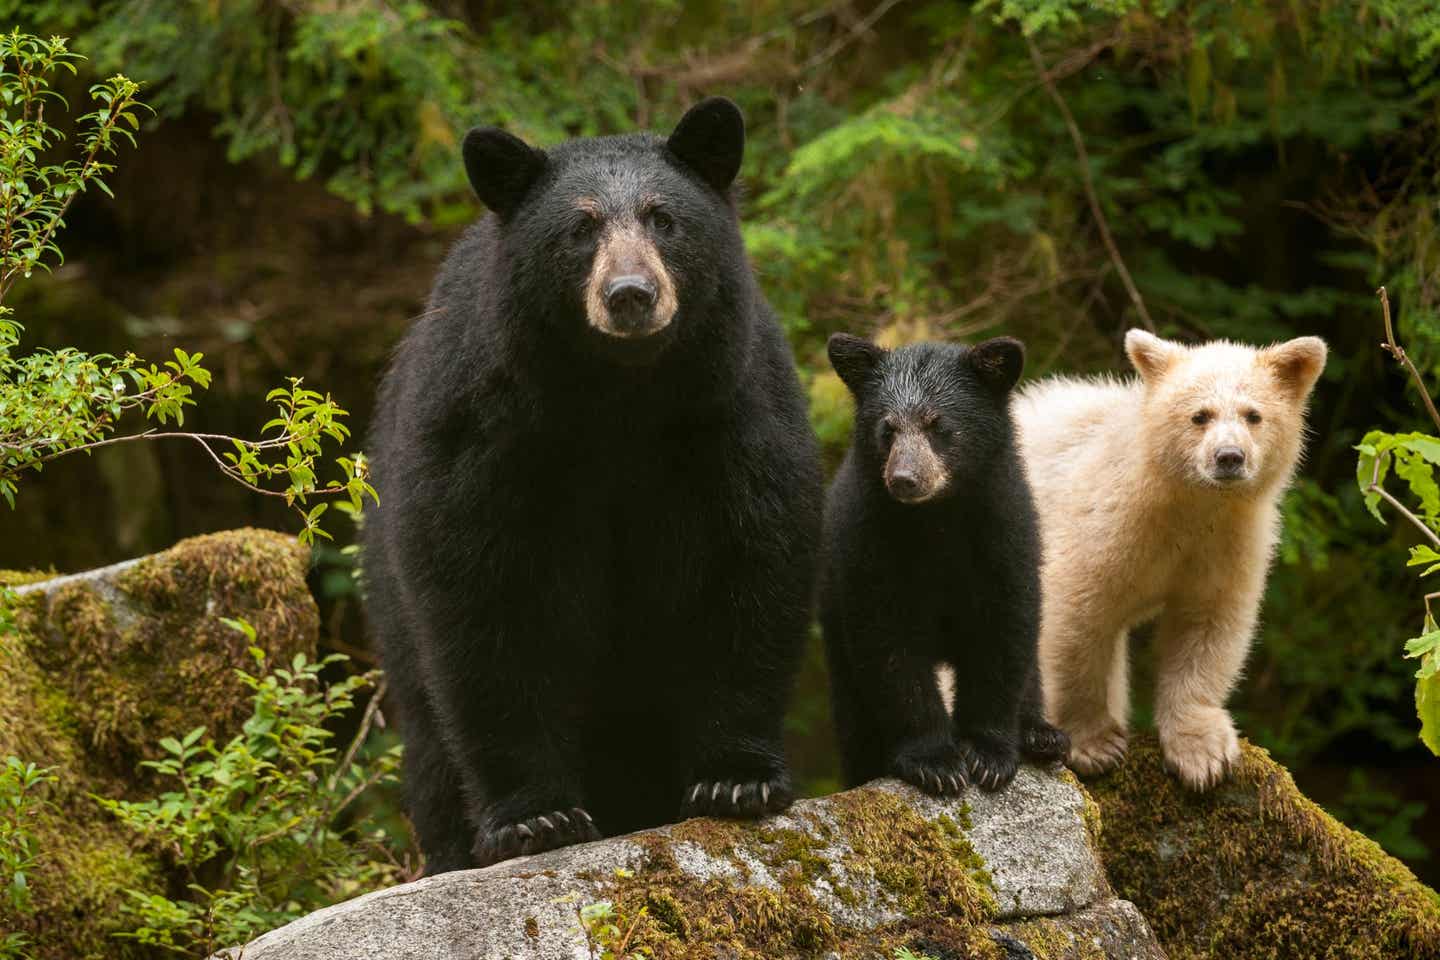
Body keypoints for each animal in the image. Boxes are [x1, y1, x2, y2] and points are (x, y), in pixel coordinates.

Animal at [362, 101, 823, 875]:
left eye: (664, 218)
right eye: (580, 229)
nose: (631, 295)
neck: (619, 398)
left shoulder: (731, 414)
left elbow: (748, 569)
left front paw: (736, 780)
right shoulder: (486, 434)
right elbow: (486, 602)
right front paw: (534, 818)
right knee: (427, 734)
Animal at [823, 333, 1071, 800]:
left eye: (939, 426)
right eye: (887, 428)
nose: (904, 479)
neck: (936, 519)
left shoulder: (1005, 534)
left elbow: (1003, 634)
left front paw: (989, 754)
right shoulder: (870, 542)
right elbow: (890, 648)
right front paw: (935, 763)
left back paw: (1042, 736)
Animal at [1013, 331, 1324, 788]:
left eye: (1253, 415)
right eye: (1200, 416)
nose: (1229, 457)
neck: (1185, 503)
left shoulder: (1226, 542)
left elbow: (1207, 625)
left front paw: (1203, 755)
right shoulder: (1106, 522)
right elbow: (1076, 616)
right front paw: (1094, 745)